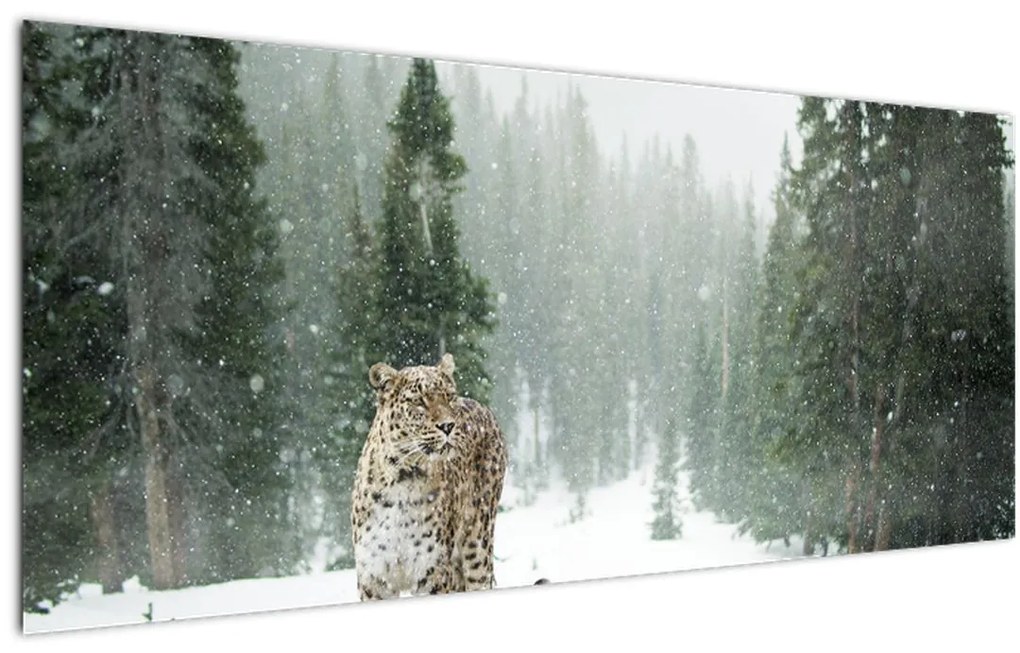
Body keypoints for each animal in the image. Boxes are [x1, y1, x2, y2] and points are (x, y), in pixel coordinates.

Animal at [350, 353, 508, 600]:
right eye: (419, 401)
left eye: (449, 397)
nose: (448, 426)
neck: (402, 478)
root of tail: (482, 407)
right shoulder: (374, 579)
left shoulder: (432, 572)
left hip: (478, 545)